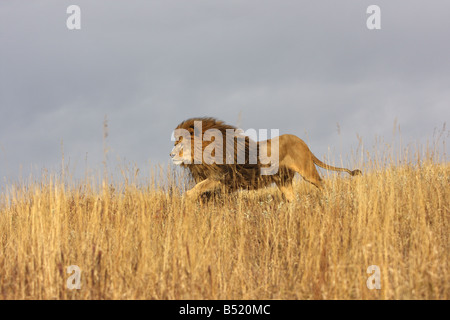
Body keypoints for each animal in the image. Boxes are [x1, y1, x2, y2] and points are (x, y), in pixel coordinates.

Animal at [170, 117, 362, 201]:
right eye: (175, 142)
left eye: (180, 143)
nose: (170, 155)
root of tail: (303, 143)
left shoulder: (223, 176)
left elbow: (194, 190)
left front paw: (187, 201)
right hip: (283, 180)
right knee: (292, 198)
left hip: (307, 170)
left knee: (322, 184)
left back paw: (329, 200)